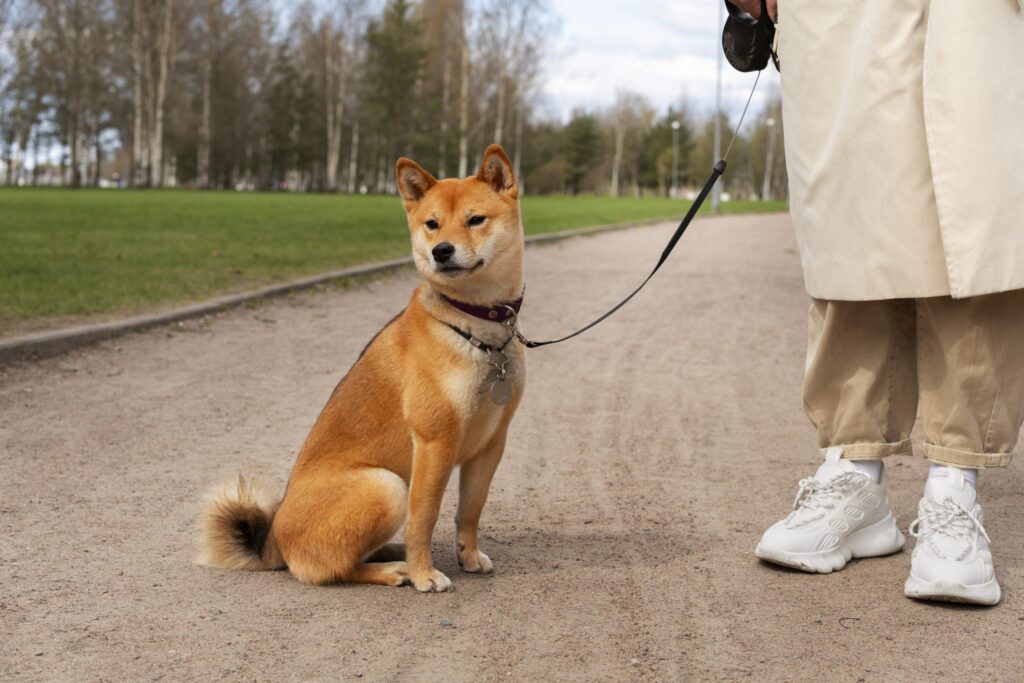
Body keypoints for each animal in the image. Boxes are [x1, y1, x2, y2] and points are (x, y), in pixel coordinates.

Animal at [197, 144, 528, 593]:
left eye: (475, 219)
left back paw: (391, 553)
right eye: (432, 224)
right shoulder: (434, 441)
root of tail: (274, 543)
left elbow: (471, 509)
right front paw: (424, 573)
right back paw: (395, 569)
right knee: (332, 568)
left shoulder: (492, 442)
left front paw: (469, 556)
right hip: (386, 485)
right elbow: (424, 518)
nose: (441, 250)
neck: (477, 329)